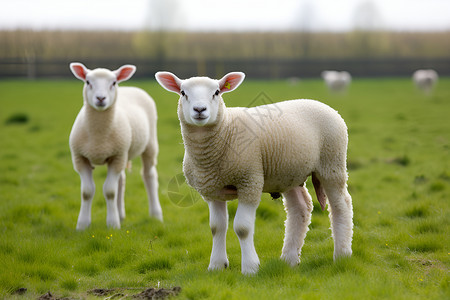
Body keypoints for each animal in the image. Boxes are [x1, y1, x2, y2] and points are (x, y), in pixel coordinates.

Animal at [69, 61, 163, 230]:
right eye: (88, 82)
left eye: (113, 83)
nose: (100, 98)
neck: (98, 138)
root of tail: (130, 87)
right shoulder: (80, 158)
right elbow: (87, 192)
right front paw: (82, 225)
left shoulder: (118, 155)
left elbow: (110, 191)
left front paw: (112, 224)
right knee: (122, 180)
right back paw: (121, 214)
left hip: (149, 145)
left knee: (149, 175)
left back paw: (156, 215)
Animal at [156, 70, 354, 274]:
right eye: (183, 93)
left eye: (217, 92)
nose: (199, 109)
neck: (225, 131)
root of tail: (322, 104)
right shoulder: (212, 191)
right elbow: (217, 227)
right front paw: (217, 266)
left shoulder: (249, 181)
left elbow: (242, 228)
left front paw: (250, 268)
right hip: (288, 173)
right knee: (300, 207)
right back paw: (289, 259)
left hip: (332, 163)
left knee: (341, 205)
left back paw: (342, 255)